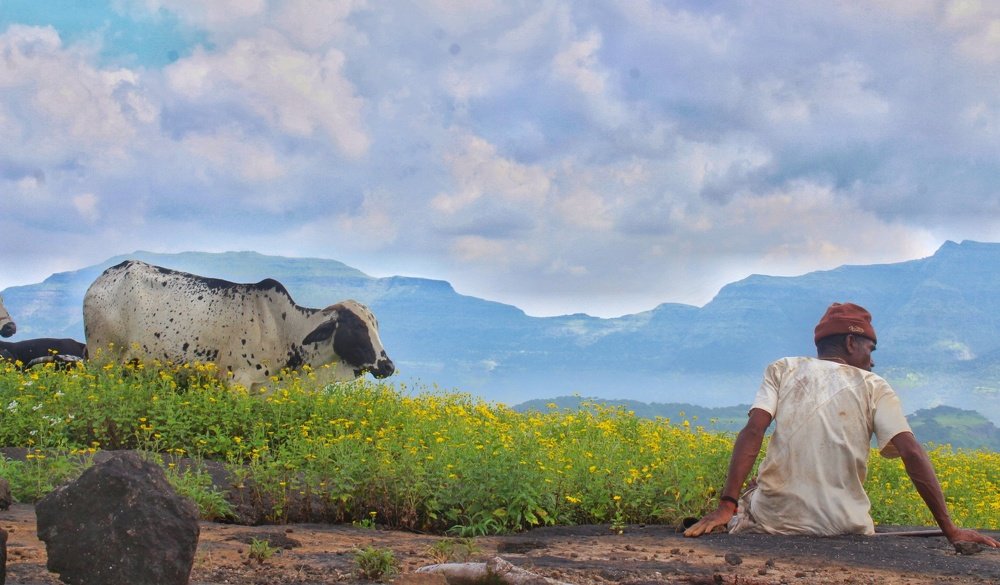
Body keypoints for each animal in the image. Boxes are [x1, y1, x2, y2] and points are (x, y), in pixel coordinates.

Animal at [82, 260, 395, 390]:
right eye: (356, 328)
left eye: (376, 325)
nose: (388, 366)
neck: (285, 329)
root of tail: (104, 276)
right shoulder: (238, 381)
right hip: (102, 356)